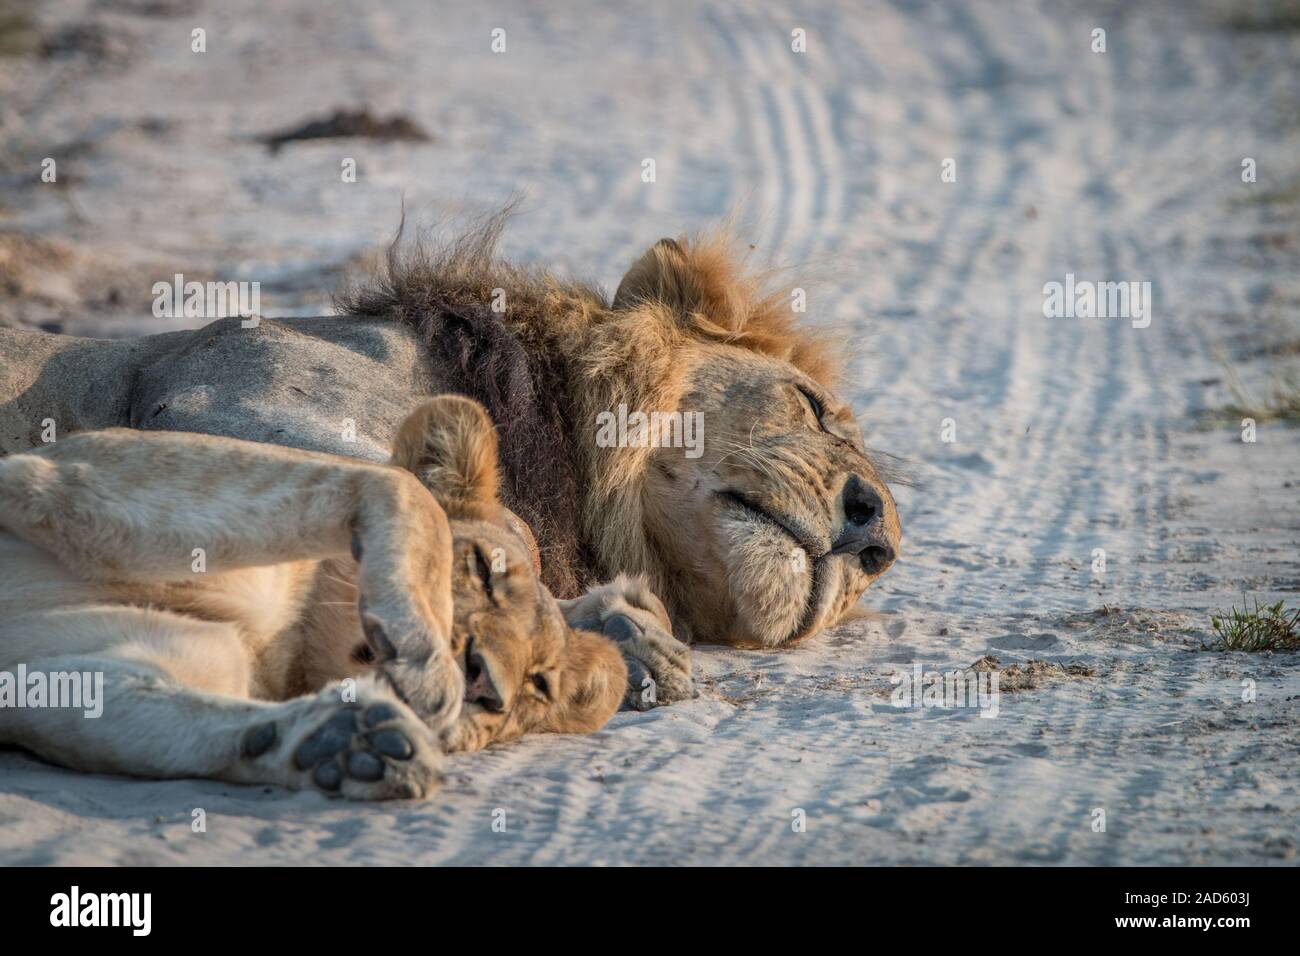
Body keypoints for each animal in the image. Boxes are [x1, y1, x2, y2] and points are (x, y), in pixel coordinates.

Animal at [0, 395, 670, 801]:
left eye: (537, 687)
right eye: (481, 570)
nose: (485, 685)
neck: (280, 646)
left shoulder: (55, 676)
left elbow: (178, 723)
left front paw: (349, 742)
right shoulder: (71, 475)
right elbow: (403, 489)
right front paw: (421, 664)